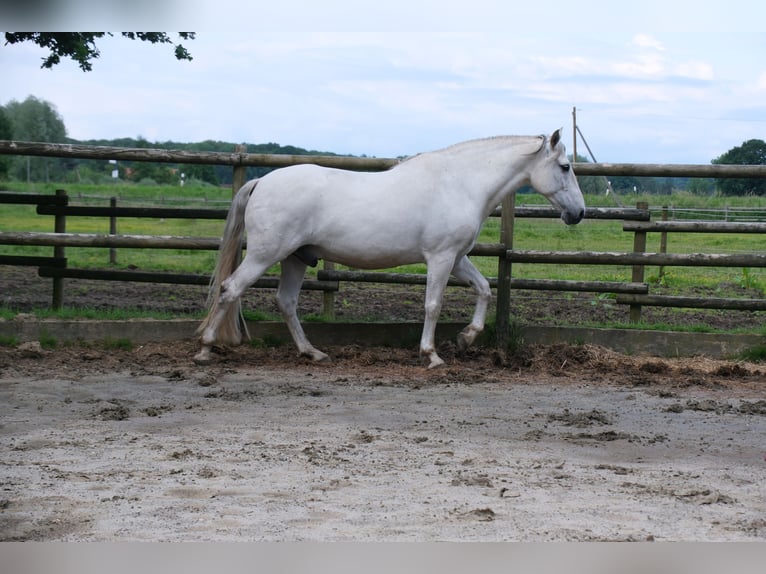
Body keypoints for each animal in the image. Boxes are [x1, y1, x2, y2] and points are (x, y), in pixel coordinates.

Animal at [195, 129, 584, 368]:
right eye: (565, 167)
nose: (578, 213)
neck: (459, 183)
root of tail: (261, 181)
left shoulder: (457, 258)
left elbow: (485, 289)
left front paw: (466, 338)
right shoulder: (441, 258)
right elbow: (432, 305)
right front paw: (431, 355)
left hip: (296, 258)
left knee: (286, 302)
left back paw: (312, 353)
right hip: (265, 254)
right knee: (230, 289)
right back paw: (205, 348)